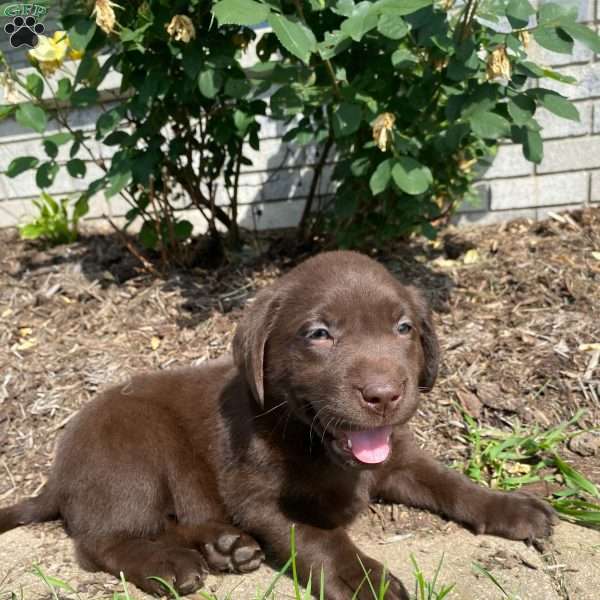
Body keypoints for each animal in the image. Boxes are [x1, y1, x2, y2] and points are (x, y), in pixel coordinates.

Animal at [0, 251, 556, 596]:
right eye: (319, 333)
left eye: (404, 328)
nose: (383, 396)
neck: (312, 439)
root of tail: (56, 478)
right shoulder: (259, 498)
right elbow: (318, 538)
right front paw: (362, 580)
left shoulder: (399, 457)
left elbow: (450, 482)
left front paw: (512, 507)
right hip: (130, 455)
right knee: (102, 542)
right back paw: (171, 564)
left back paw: (224, 547)